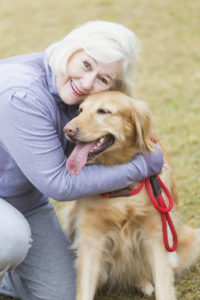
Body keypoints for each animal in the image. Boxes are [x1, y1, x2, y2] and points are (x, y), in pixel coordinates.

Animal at [61, 91, 199, 300]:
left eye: (103, 111)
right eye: (80, 110)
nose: (67, 130)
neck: (120, 188)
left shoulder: (157, 236)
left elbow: (164, 285)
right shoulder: (91, 241)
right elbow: (84, 288)